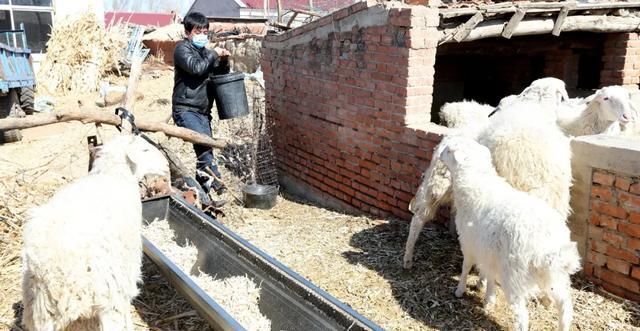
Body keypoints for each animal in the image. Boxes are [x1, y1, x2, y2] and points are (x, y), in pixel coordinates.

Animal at [22, 134, 169, 330]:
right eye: (145, 150)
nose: (166, 165)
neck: (114, 176)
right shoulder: (123, 275)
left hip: (39, 312)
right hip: (106, 295)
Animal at [440, 135, 580, 331]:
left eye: (448, 151)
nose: (439, 154)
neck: (477, 183)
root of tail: (545, 248)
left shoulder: (468, 243)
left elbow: (466, 266)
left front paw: (460, 290)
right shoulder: (489, 252)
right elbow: (489, 274)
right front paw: (488, 297)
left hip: (514, 277)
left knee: (522, 317)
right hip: (555, 275)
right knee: (565, 307)